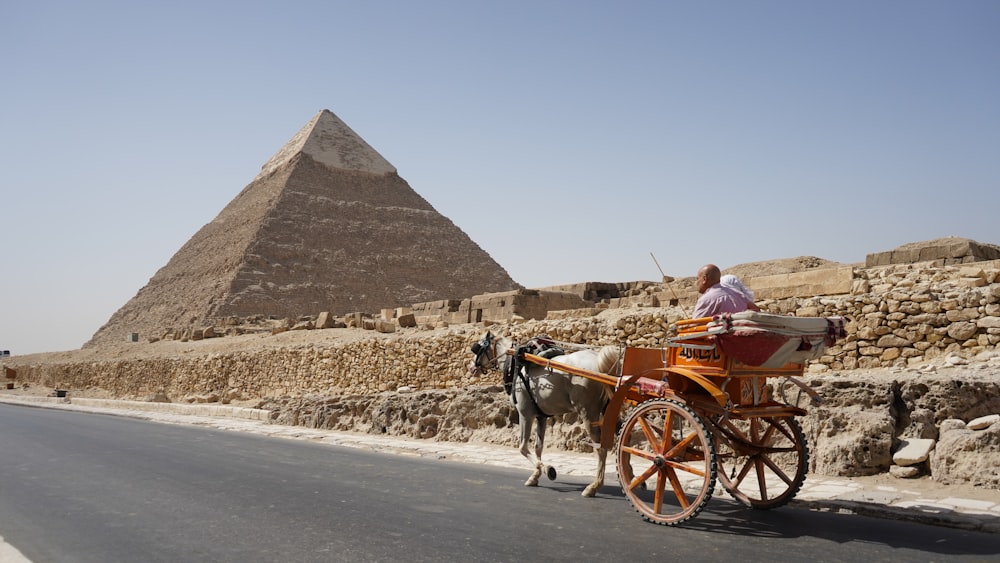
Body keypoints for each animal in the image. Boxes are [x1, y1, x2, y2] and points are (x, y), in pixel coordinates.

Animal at [466, 332, 616, 496]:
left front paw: (547, 469)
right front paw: (535, 476)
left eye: (478, 347)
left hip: (588, 413)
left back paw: (593, 486)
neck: (516, 362)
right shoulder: (541, 416)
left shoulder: (525, 414)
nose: (471, 368)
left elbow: (523, 447)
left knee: (601, 448)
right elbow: (538, 446)